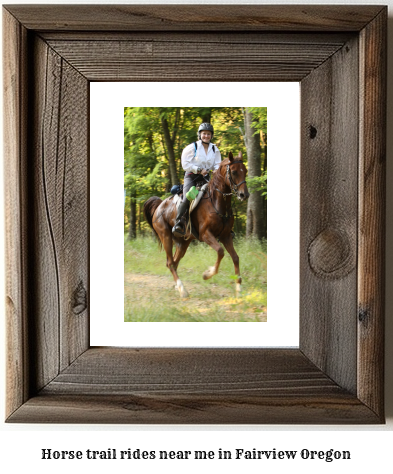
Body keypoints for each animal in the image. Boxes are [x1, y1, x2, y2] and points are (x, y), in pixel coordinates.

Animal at [143, 152, 248, 298]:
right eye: (233, 172)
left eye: (246, 171)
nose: (244, 194)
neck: (216, 202)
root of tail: (159, 206)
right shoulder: (206, 235)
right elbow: (220, 251)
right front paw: (207, 274)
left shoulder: (226, 236)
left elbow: (235, 258)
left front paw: (238, 288)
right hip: (166, 237)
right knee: (170, 263)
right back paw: (182, 290)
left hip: (183, 242)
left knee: (174, 262)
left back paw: (178, 287)